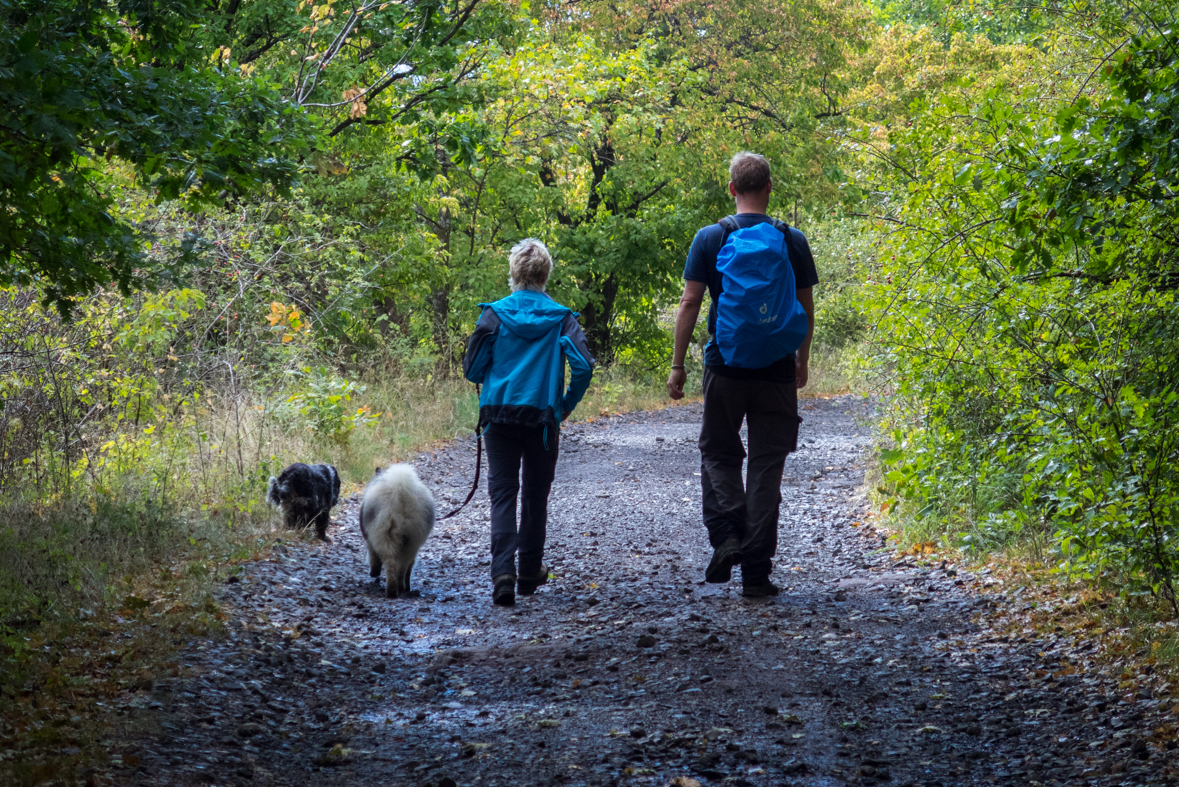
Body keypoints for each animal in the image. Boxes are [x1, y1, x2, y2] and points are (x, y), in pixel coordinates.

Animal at [358, 466, 438, 596]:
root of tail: (401, 494)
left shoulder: (370, 541)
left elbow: (373, 557)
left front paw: (374, 573)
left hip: (384, 535)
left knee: (391, 563)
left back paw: (392, 590)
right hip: (412, 541)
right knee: (403, 567)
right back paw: (400, 588)